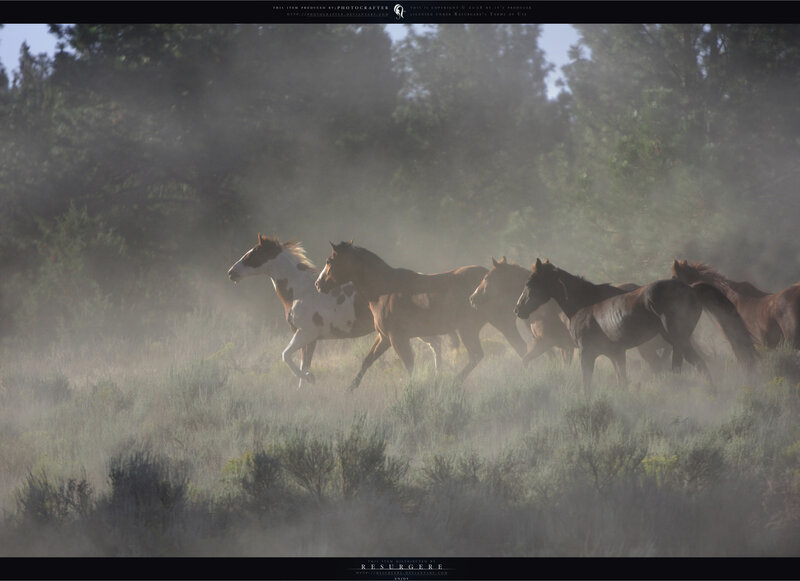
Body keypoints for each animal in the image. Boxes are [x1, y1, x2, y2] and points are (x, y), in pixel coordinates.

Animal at [227, 234, 451, 388]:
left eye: (252, 254)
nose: (231, 273)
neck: (300, 291)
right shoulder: (310, 340)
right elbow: (302, 363)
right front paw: (305, 385)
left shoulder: (305, 334)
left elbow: (286, 356)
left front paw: (310, 379)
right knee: (436, 344)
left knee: (436, 344)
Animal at [314, 241, 530, 389]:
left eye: (330, 261)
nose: (318, 284)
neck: (384, 290)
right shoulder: (384, 337)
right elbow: (367, 360)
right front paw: (350, 389)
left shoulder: (397, 338)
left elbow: (408, 365)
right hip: (496, 325)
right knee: (518, 348)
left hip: (472, 328)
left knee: (481, 354)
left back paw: (454, 381)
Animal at [469, 257, 668, 371]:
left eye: (487, 277)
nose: (472, 298)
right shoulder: (565, 347)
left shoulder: (545, 343)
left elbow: (526, 361)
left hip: (646, 347)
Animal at [514, 259, 758, 390]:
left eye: (530, 283)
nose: (518, 310)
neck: (585, 303)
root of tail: (690, 288)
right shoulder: (617, 354)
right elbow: (622, 381)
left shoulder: (586, 353)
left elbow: (587, 383)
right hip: (676, 343)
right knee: (678, 367)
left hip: (678, 341)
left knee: (699, 364)